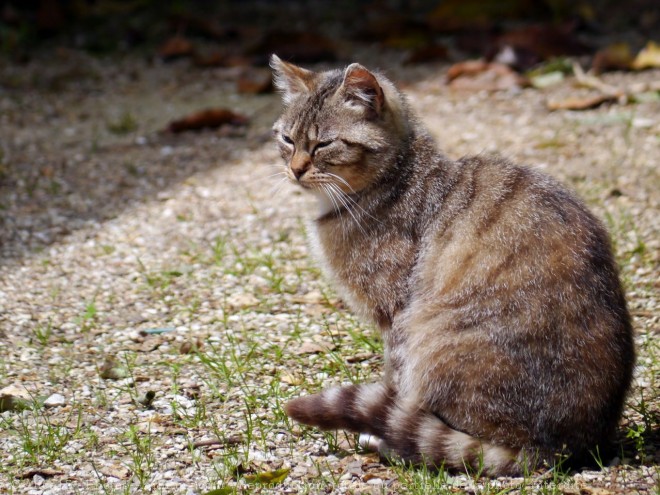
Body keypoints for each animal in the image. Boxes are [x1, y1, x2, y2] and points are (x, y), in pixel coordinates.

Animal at [268, 54, 636, 476]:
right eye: (287, 139)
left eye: (324, 143)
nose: (295, 169)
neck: (394, 178)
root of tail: (558, 449)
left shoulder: (396, 316)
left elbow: (395, 380)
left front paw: (379, 426)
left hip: (431, 336)